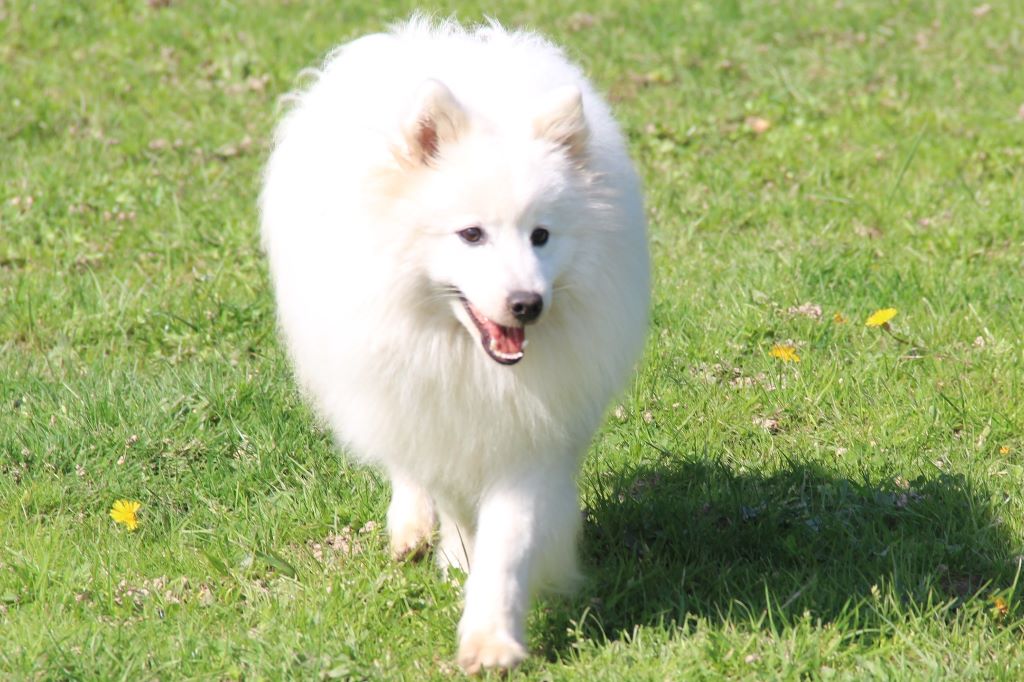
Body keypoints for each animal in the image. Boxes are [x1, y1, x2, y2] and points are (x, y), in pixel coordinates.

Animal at [260, 16, 649, 673]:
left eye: (541, 235)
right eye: (471, 234)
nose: (527, 304)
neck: (474, 363)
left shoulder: (533, 437)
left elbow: (509, 541)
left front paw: (491, 638)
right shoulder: (432, 409)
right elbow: (458, 510)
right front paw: (456, 558)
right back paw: (411, 526)